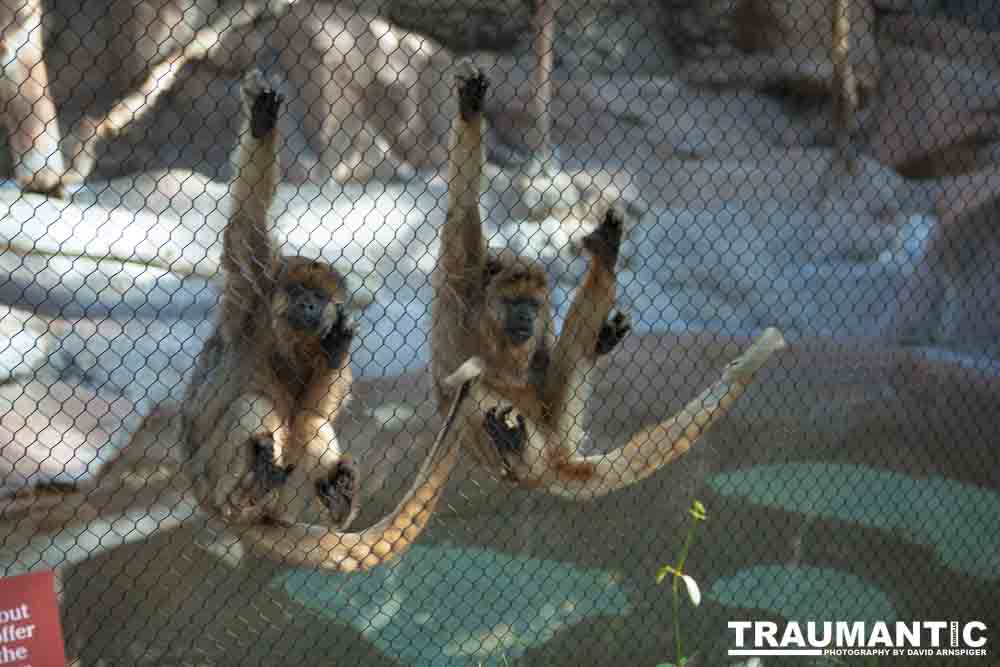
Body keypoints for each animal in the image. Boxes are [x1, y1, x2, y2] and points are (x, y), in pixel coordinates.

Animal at [432, 64, 788, 500]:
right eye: (514, 302)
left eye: (533, 305)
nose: (527, 319)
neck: (491, 327)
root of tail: (549, 466)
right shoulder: (461, 276)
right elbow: (462, 209)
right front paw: (470, 111)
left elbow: (546, 377)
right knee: (473, 386)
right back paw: (513, 447)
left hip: (556, 432)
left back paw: (605, 262)